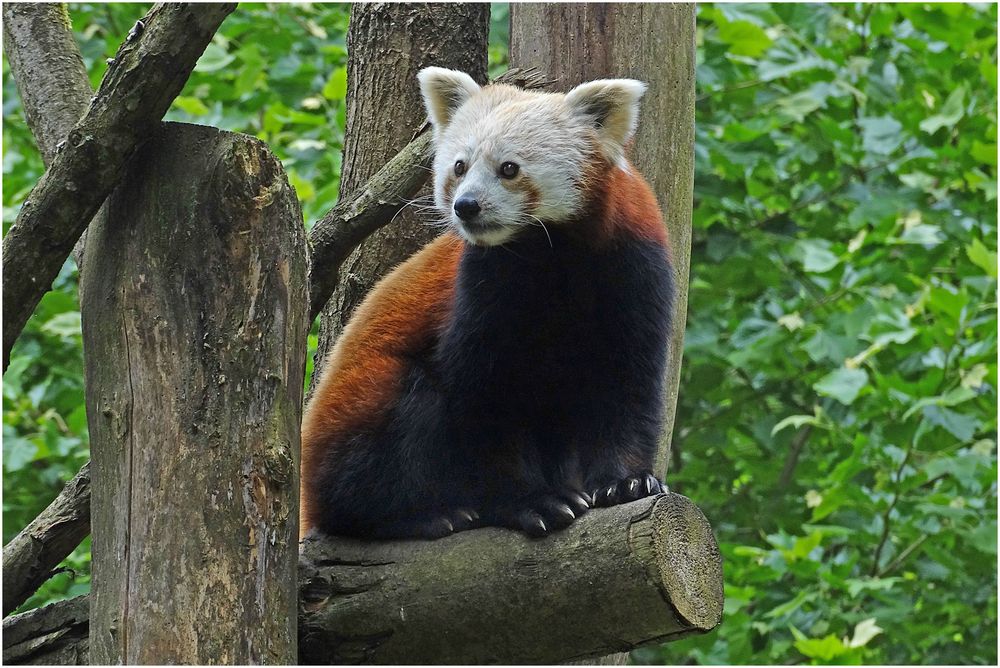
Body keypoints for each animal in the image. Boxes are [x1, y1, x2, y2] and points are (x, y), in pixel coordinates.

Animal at [296, 66, 672, 536]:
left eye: (508, 168)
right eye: (460, 166)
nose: (466, 206)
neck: (552, 253)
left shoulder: (633, 267)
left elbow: (628, 384)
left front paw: (626, 481)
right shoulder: (480, 288)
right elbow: (483, 400)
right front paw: (531, 500)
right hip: (356, 409)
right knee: (405, 414)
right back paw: (424, 513)